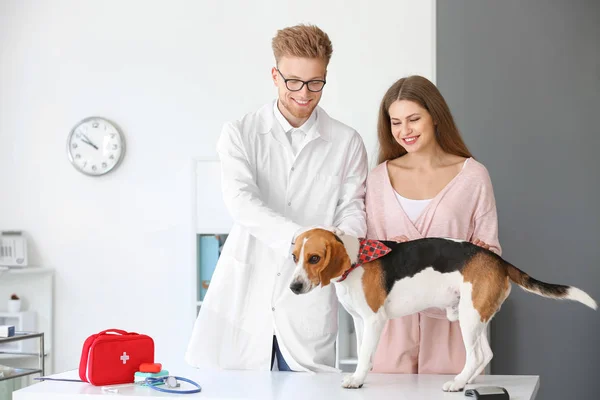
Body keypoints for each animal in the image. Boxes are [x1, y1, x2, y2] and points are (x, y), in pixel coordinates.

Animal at [290, 228, 596, 390]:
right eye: (294, 257)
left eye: (314, 258)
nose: (293, 287)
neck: (355, 261)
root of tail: (498, 260)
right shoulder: (359, 320)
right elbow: (365, 349)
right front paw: (362, 374)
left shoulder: (375, 319)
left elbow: (364, 354)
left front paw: (357, 379)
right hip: (475, 315)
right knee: (485, 354)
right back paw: (465, 381)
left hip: (469, 319)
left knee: (476, 356)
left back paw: (457, 383)